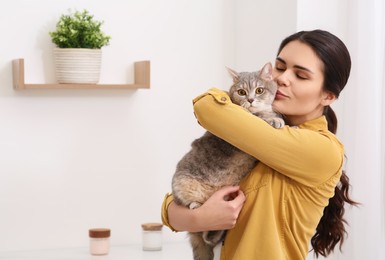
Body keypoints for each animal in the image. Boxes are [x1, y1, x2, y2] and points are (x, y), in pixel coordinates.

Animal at [170, 61, 282, 260]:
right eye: (241, 92)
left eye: (259, 90)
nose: (250, 100)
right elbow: (260, 117)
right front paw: (274, 119)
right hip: (182, 185)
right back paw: (196, 206)